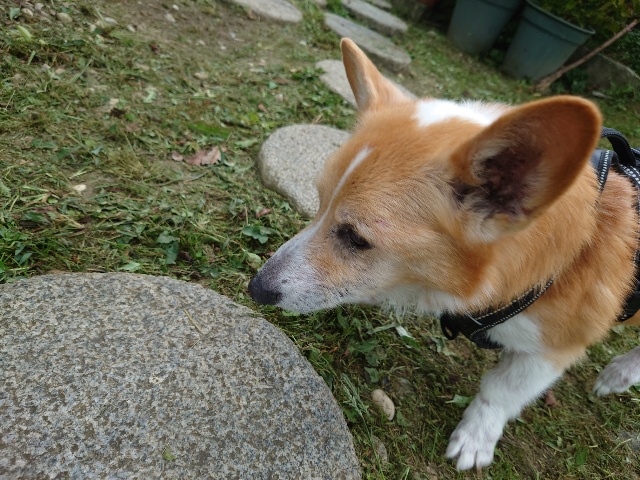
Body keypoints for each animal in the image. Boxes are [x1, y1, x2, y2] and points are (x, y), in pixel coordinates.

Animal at [248, 38, 640, 470]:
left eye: (356, 238)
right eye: (317, 203)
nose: (256, 288)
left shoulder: (555, 348)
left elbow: (501, 390)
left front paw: (475, 438)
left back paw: (620, 373)